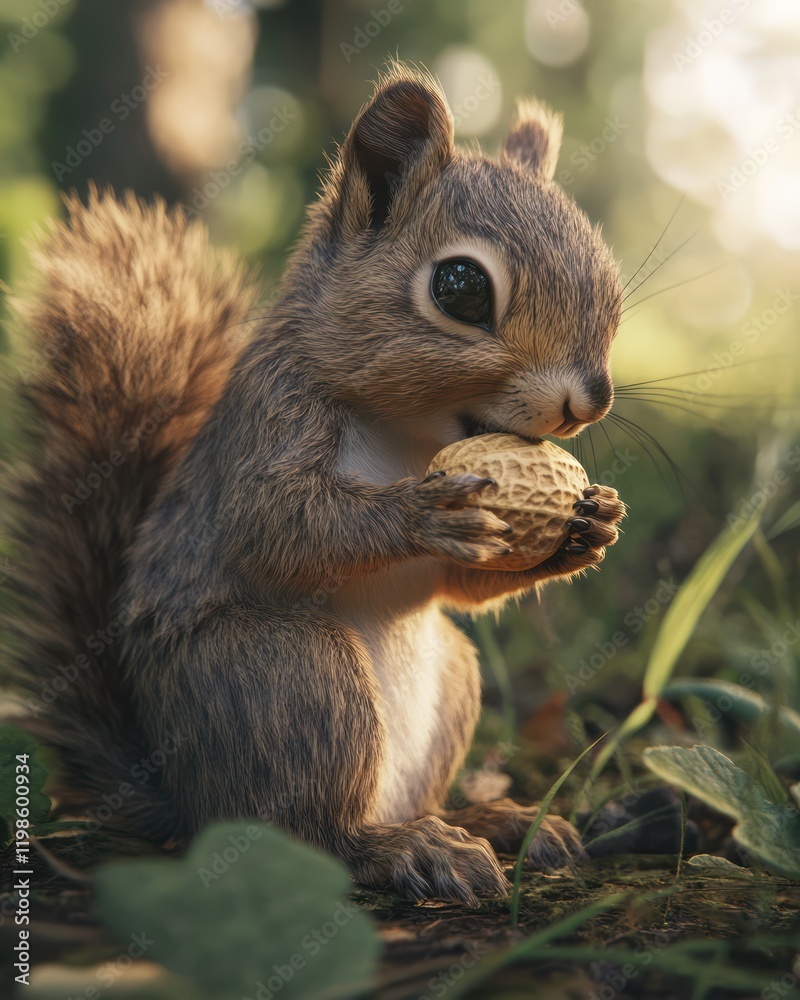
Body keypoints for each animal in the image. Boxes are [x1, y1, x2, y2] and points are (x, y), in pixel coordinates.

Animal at [5, 63, 625, 903]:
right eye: (461, 287)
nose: (592, 400)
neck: (410, 435)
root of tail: (183, 797)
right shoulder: (272, 420)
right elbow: (275, 525)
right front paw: (416, 517)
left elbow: (460, 586)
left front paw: (587, 527)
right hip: (287, 680)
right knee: (313, 836)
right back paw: (406, 849)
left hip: (445, 677)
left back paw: (491, 821)